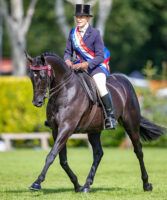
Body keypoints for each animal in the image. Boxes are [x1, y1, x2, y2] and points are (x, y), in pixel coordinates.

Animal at [26, 52, 166, 194]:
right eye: (31, 77)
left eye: (43, 76)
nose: (37, 102)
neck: (65, 90)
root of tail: (125, 81)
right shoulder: (56, 130)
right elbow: (62, 160)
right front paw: (77, 185)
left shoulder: (66, 128)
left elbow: (51, 155)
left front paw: (37, 183)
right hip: (94, 130)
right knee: (98, 153)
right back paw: (86, 185)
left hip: (131, 124)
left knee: (138, 151)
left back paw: (146, 184)